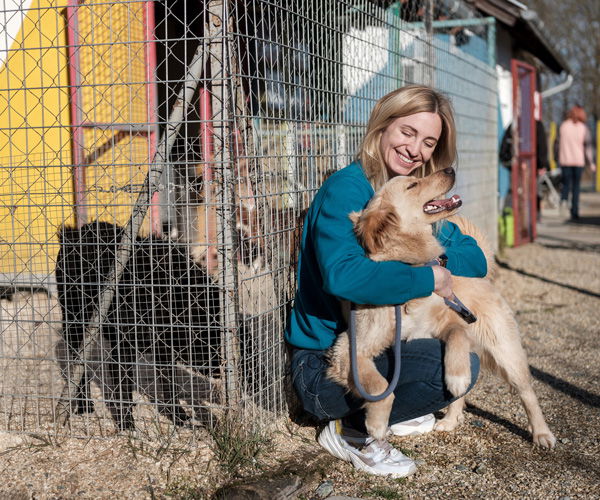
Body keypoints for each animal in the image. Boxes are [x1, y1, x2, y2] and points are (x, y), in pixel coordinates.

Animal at [326, 168, 556, 450]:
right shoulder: (349, 348)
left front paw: (457, 376)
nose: (450, 170)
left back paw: (541, 433)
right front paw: (377, 423)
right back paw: (450, 419)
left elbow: (457, 337)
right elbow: (379, 385)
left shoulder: (447, 323)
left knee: (527, 392)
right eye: (412, 185)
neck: (409, 269)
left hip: (506, 352)